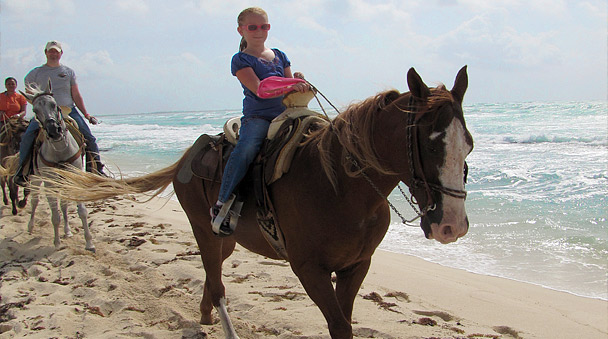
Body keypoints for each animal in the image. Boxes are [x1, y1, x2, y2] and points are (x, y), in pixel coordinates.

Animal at [20, 82, 94, 252]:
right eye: (35, 110)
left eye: (54, 104)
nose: (54, 131)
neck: (60, 150)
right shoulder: (49, 182)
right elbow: (55, 215)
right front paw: (57, 242)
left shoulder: (73, 178)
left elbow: (81, 211)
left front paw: (89, 243)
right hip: (36, 178)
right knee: (35, 201)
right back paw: (31, 226)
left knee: (64, 205)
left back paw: (67, 231)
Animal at [34, 67, 476, 339]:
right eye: (430, 143)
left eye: (468, 143)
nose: (451, 226)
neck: (342, 189)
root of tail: (190, 154)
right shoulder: (309, 270)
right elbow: (338, 325)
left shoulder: (356, 266)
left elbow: (345, 321)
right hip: (204, 230)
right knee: (216, 282)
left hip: (228, 240)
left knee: (211, 277)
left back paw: (204, 316)